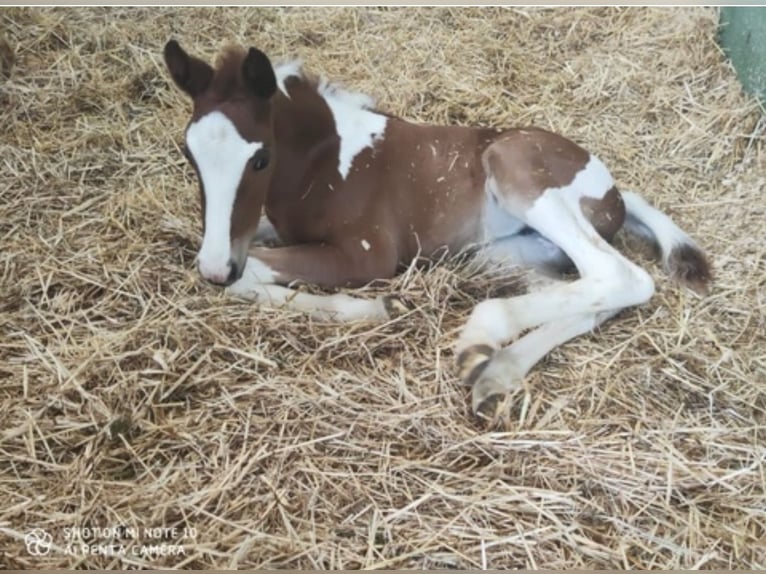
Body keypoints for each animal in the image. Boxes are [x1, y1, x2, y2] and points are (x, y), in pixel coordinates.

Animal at [165, 41, 712, 418]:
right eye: (189, 154)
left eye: (259, 158)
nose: (215, 267)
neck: (326, 161)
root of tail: (614, 190)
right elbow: (248, 256)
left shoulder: (365, 253)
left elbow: (253, 273)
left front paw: (373, 308)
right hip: (504, 255)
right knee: (594, 291)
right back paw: (495, 373)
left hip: (517, 174)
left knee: (620, 275)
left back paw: (482, 337)